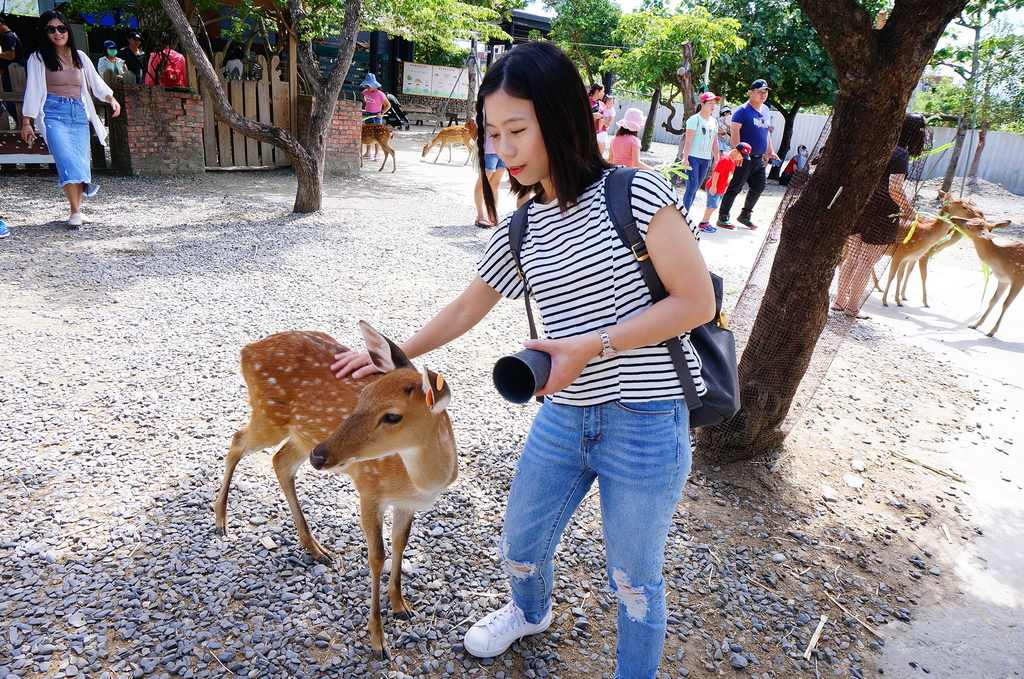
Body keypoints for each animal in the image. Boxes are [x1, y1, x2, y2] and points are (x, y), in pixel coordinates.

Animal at [214, 323, 458, 659]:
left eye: (392, 415)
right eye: (363, 394)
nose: (320, 455)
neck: (421, 483)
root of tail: (247, 349)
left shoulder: (407, 504)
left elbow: (400, 545)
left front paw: (400, 605)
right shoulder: (369, 490)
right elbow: (377, 556)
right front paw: (378, 638)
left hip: (299, 433)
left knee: (279, 462)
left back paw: (315, 548)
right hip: (270, 416)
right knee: (238, 440)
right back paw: (221, 519)